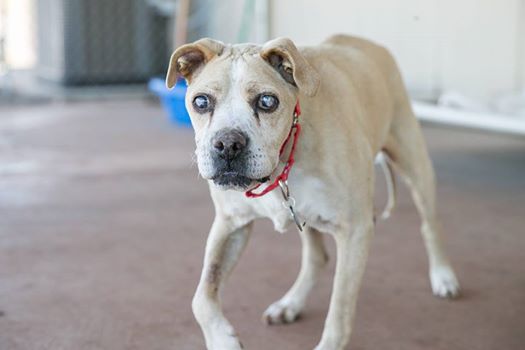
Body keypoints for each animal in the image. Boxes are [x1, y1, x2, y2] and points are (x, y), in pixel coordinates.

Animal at [168, 33, 458, 350]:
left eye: (267, 101)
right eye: (201, 101)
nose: (228, 144)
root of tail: (366, 42)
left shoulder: (355, 231)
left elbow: (339, 310)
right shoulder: (230, 224)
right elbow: (202, 297)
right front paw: (223, 339)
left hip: (416, 167)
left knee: (430, 225)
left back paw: (443, 276)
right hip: (304, 215)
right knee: (317, 257)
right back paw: (290, 304)